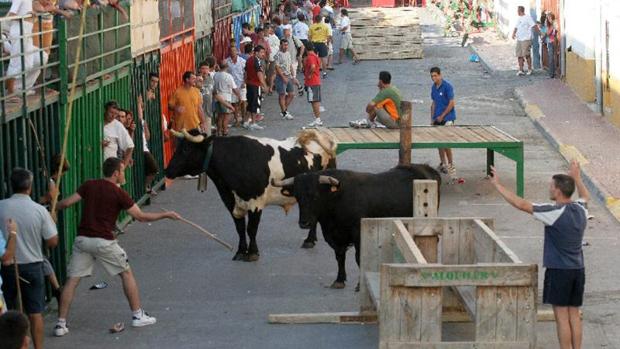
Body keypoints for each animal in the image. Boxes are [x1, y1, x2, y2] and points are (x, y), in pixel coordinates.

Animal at [163, 128, 334, 260]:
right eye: (178, 147)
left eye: (186, 149)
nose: (167, 170)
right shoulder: (230, 202)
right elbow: (239, 228)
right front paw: (240, 251)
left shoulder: (255, 202)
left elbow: (251, 228)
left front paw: (252, 253)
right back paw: (310, 240)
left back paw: (310, 239)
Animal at [272, 164, 440, 286]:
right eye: (297, 196)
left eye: (315, 196)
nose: (304, 223)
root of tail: (425, 168)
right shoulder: (334, 237)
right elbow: (339, 257)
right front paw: (339, 280)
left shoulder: (359, 235)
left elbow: (359, 259)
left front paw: (359, 285)